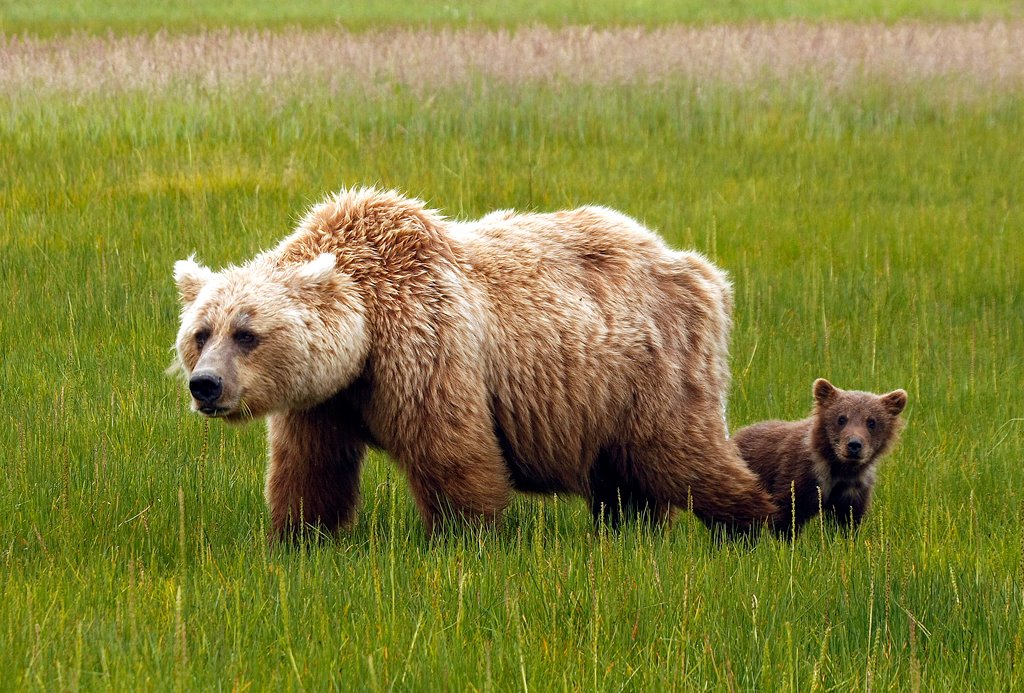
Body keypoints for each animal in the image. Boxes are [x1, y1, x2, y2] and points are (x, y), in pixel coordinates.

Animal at [172, 186, 778, 540]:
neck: (364, 329)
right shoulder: (323, 398)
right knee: (628, 479)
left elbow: (451, 450)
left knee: (684, 452)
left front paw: (467, 535)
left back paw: (757, 522)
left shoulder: (423, 344)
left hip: (650, 365)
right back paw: (631, 531)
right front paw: (302, 537)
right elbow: (310, 467)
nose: (206, 385)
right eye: (201, 334)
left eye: (246, 334)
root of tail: (701, 269)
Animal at [732, 378, 908, 535]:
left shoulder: (853, 488)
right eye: (841, 418)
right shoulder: (800, 475)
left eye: (871, 422)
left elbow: (847, 520)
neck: (838, 467)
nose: (854, 445)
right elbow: (788, 513)